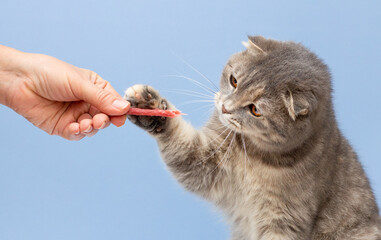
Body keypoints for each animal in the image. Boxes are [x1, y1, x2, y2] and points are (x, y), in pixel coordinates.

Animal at [124, 36, 380, 240]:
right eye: (234, 81)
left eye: (255, 110)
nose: (225, 108)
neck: (257, 155)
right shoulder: (207, 161)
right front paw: (150, 108)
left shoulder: (285, 219)